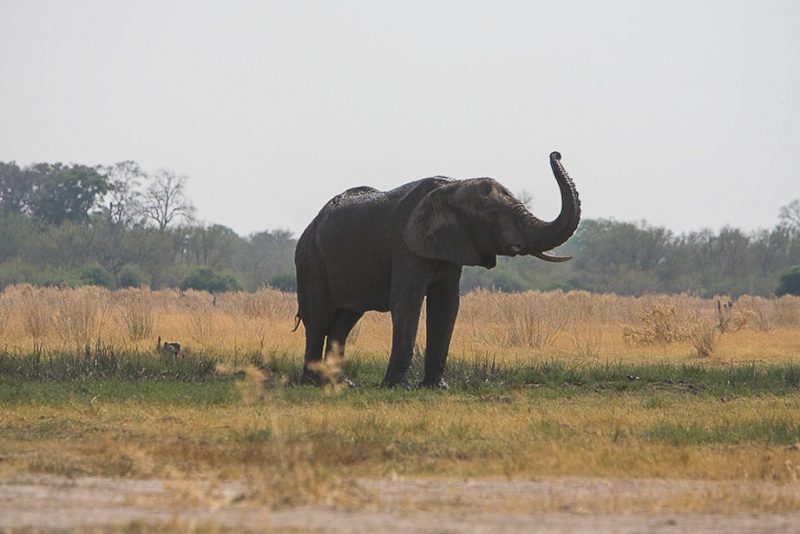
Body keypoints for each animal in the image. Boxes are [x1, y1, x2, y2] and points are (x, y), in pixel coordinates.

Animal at [294, 151, 580, 390]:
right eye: (491, 213)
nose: (556, 153)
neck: (455, 187)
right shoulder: (406, 246)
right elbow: (407, 303)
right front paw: (400, 388)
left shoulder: (451, 246)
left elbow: (446, 306)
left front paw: (438, 387)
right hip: (311, 260)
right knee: (318, 319)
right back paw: (311, 383)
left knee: (343, 323)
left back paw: (341, 384)